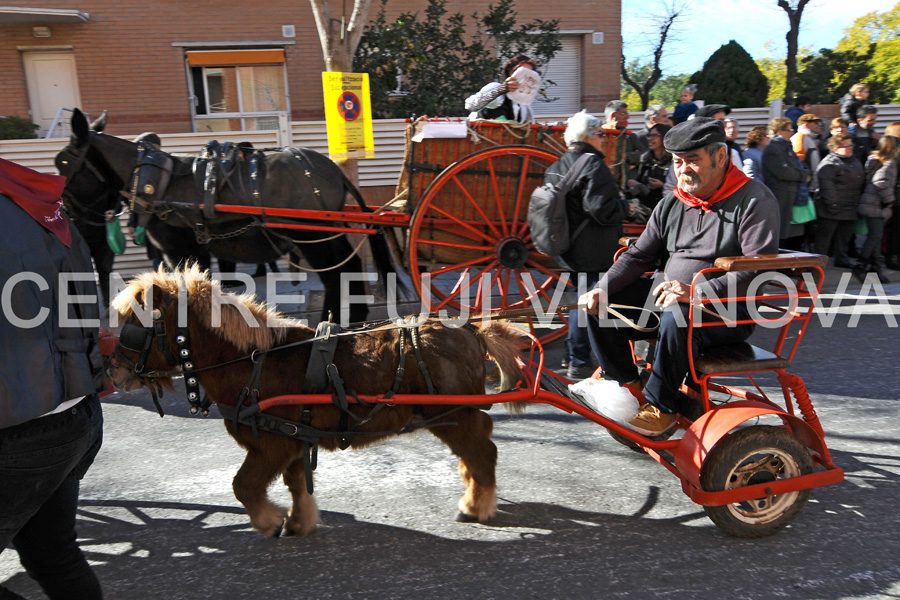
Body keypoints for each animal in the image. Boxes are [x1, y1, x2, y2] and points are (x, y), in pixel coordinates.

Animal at [56, 108, 394, 324]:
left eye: (62, 163)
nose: (67, 211)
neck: (156, 181)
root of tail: (335, 171)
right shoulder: (194, 251)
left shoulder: (178, 250)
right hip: (325, 232)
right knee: (347, 267)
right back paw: (350, 317)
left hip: (311, 235)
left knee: (336, 273)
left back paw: (334, 321)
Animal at [109, 266, 524, 536]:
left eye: (136, 324)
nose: (113, 371)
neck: (255, 362)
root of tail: (469, 329)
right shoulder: (292, 441)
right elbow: (295, 484)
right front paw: (298, 520)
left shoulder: (270, 446)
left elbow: (243, 485)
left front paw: (269, 521)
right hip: (455, 415)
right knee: (479, 446)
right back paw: (474, 487)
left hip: (453, 415)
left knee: (482, 451)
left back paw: (477, 504)